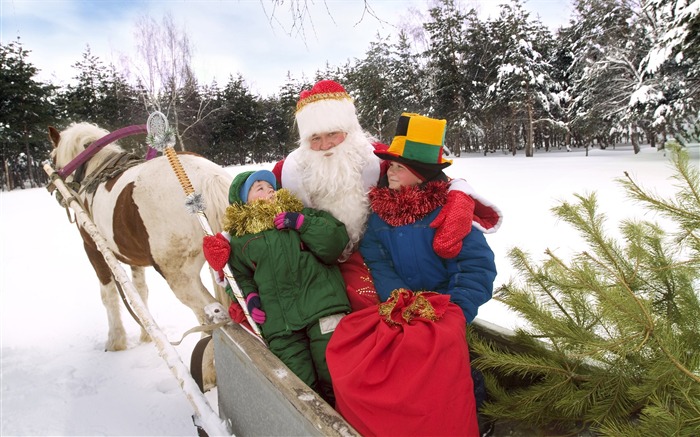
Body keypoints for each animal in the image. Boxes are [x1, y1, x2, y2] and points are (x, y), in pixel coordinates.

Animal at [47, 122, 232, 388]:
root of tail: (207, 179)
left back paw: (207, 372)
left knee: (211, 319)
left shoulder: (93, 249)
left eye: (53, 157)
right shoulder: (135, 259)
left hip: (180, 277)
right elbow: (141, 293)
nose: (55, 190)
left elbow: (109, 296)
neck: (95, 171)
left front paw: (115, 341)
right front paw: (146, 335)